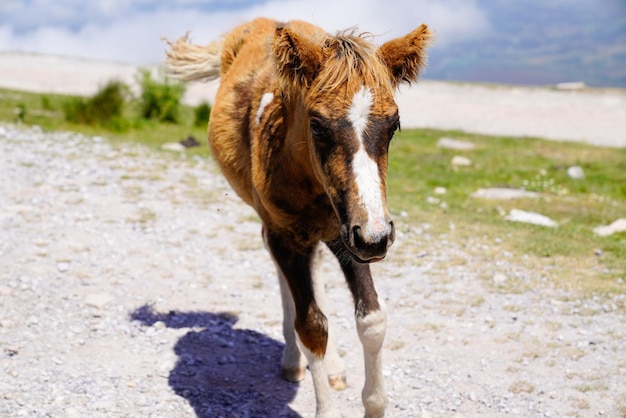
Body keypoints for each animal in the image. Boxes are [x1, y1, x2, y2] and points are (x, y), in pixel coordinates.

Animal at [163, 18, 432, 416]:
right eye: (317, 125)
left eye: (394, 124)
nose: (377, 238)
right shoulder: (290, 234)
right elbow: (311, 327)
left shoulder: (350, 233)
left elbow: (372, 319)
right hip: (279, 227)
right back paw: (292, 359)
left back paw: (333, 367)